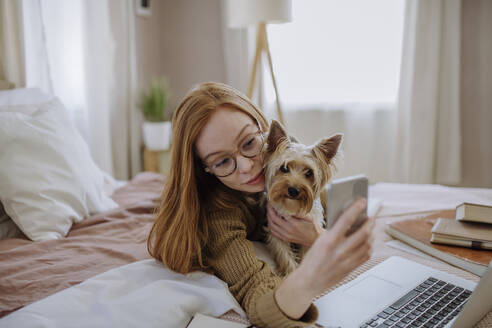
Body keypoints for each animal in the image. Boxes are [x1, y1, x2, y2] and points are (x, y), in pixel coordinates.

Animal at [264, 119, 340, 276]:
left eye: (309, 172)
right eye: (284, 168)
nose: (293, 190)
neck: (291, 206)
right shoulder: (277, 234)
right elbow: (285, 257)